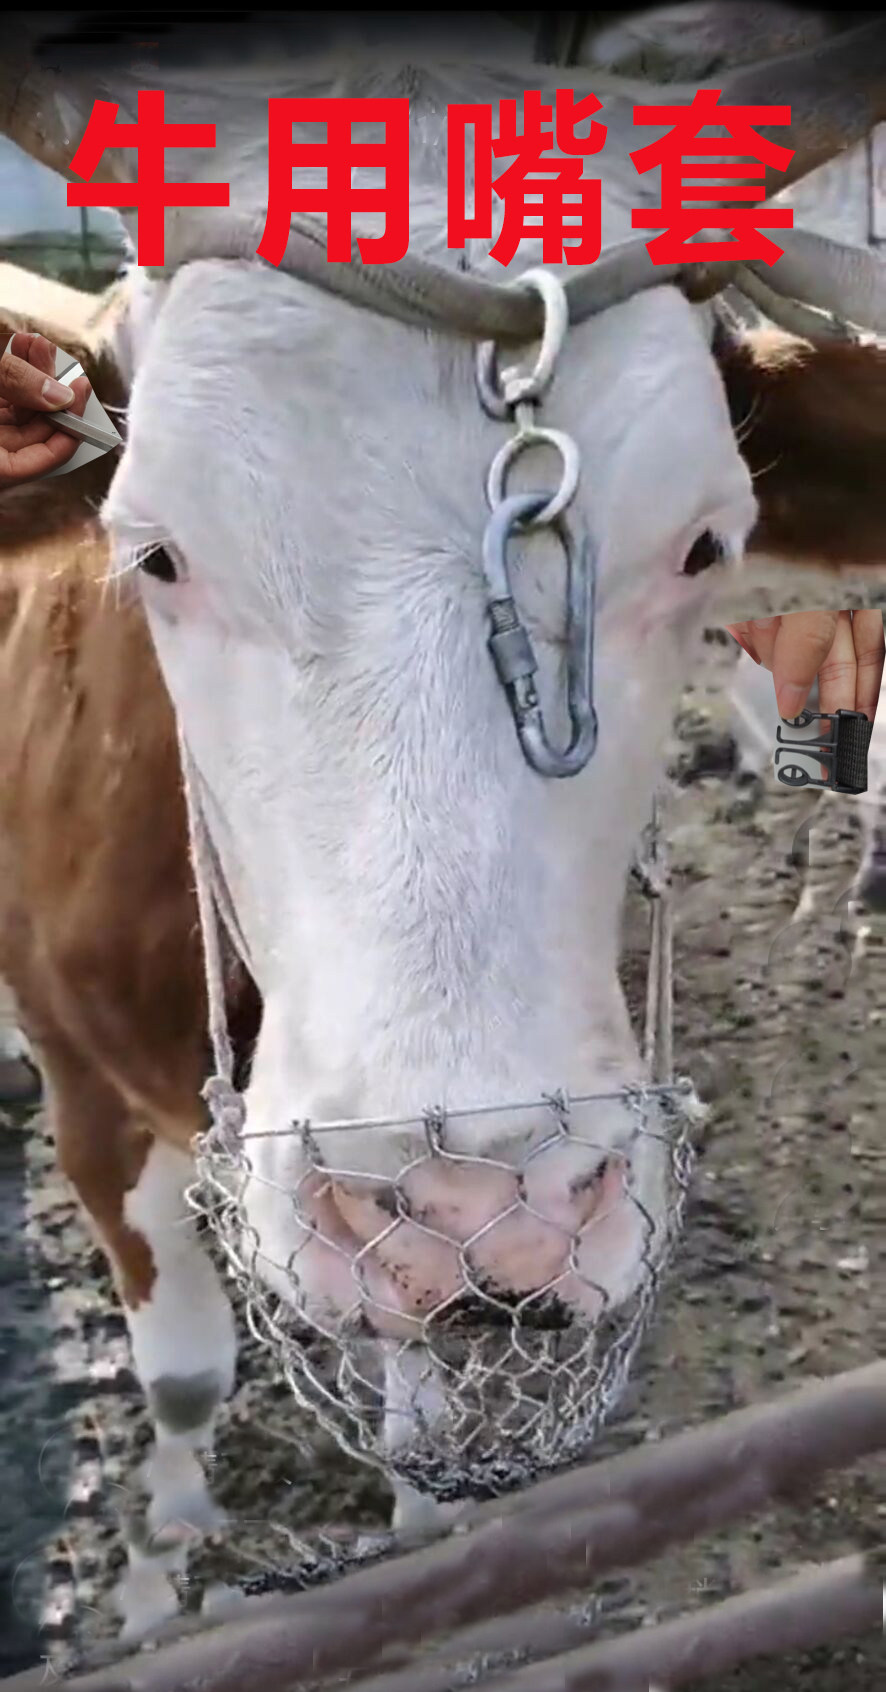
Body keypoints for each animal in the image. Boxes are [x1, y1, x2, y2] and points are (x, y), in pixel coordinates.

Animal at [4, 17, 886, 1638]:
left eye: (706, 542)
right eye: (153, 552)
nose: (480, 1196)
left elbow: (419, 1377)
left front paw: (431, 1538)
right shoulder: (87, 1083)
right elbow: (180, 1379)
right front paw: (159, 1582)